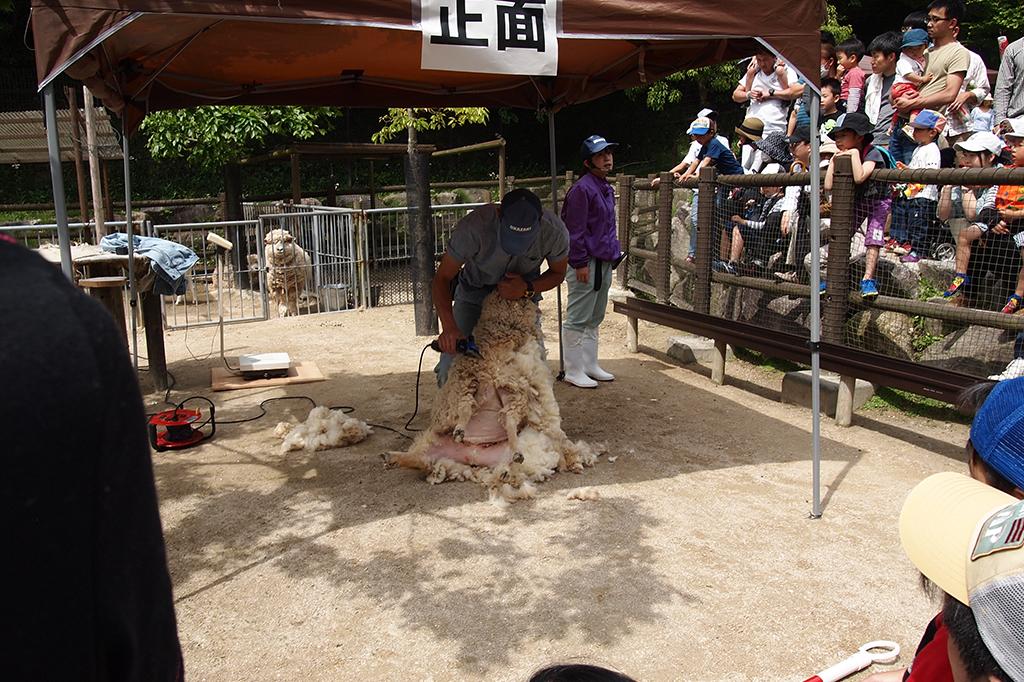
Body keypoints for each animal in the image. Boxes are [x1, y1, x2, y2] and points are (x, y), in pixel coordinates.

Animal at [385, 288, 598, 501]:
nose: (531, 297)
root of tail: (474, 455)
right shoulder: (469, 378)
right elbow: (466, 406)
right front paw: (461, 426)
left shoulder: (503, 383)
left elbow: (477, 409)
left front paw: (462, 427)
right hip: (438, 441)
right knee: (420, 458)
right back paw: (394, 457)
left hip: (512, 400)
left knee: (507, 424)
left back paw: (510, 461)